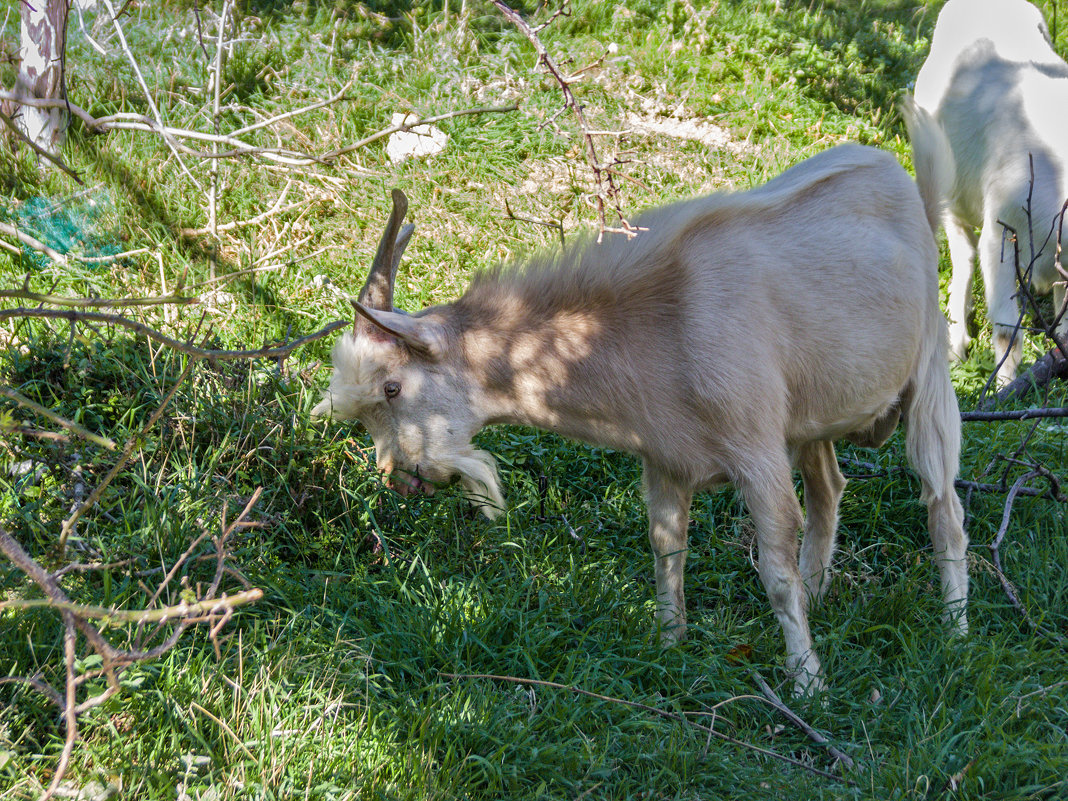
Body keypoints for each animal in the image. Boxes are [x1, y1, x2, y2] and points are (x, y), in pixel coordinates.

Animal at [311, 146, 974, 696]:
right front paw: (668, 646)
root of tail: (891, 170)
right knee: (830, 488)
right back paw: (824, 592)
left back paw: (956, 632)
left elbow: (774, 570)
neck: (657, 327)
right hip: (809, 417)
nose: (401, 478)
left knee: (942, 502)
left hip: (929, 371)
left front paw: (807, 681)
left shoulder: (756, 451)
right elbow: (666, 548)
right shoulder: (666, 458)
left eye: (392, 387)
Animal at [909, 0, 1068, 386]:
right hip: (948, 193)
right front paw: (1003, 387)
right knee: (962, 255)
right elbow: (1007, 328)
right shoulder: (1001, 235)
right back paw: (955, 344)